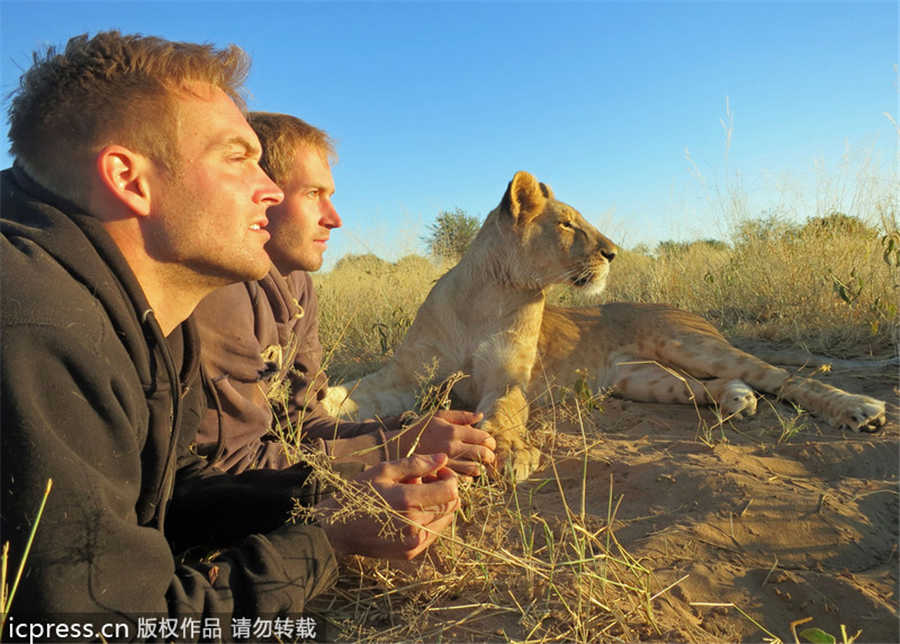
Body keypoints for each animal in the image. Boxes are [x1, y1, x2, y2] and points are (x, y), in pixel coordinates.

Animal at [324, 171, 887, 480]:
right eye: (568, 223)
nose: (613, 252)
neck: (488, 293)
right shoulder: (404, 377)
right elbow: (355, 392)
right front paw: (315, 402)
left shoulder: (507, 378)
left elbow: (503, 412)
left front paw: (511, 452)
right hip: (641, 377)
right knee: (715, 385)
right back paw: (737, 399)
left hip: (688, 343)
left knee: (785, 377)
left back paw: (858, 410)